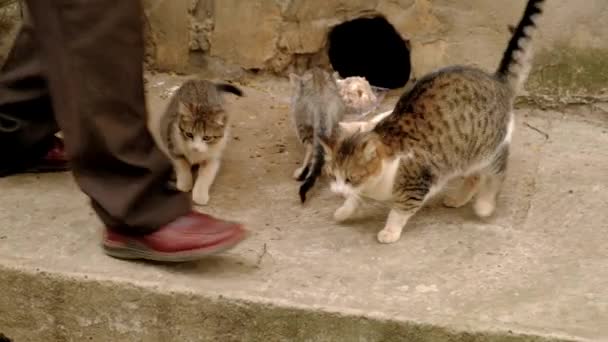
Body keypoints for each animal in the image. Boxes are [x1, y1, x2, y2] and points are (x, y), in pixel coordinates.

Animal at [318, 0, 548, 244]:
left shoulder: (417, 184)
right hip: (463, 154)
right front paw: (344, 209)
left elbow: (399, 210)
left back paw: (485, 205)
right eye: (333, 176)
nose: (337, 191)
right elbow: (355, 199)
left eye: (351, 178)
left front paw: (389, 231)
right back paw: (458, 199)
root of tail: (496, 81)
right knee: (475, 175)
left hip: (486, 149)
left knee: (497, 172)